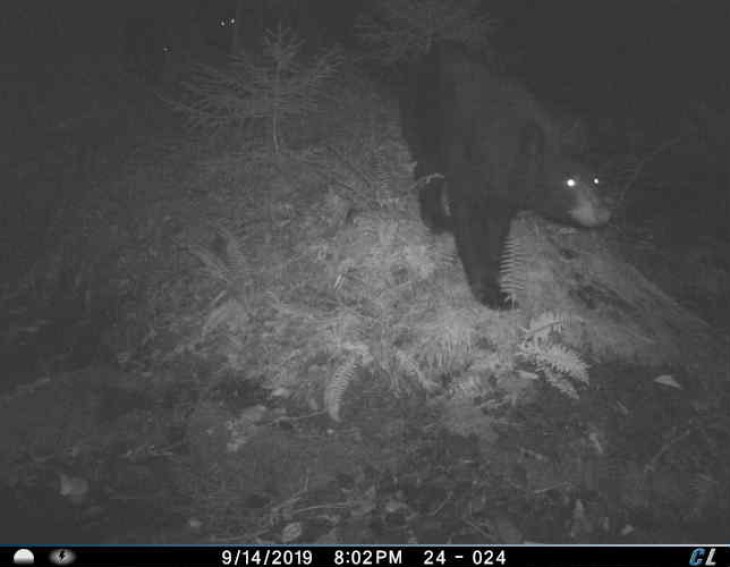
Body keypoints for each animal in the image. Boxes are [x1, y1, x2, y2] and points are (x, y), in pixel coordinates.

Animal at [399, 41, 611, 308]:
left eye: (597, 180)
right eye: (569, 182)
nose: (603, 214)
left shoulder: (506, 191)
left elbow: (498, 228)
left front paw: (498, 285)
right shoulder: (469, 161)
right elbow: (468, 218)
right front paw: (487, 291)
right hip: (425, 119)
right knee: (428, 167)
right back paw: (435, 217)